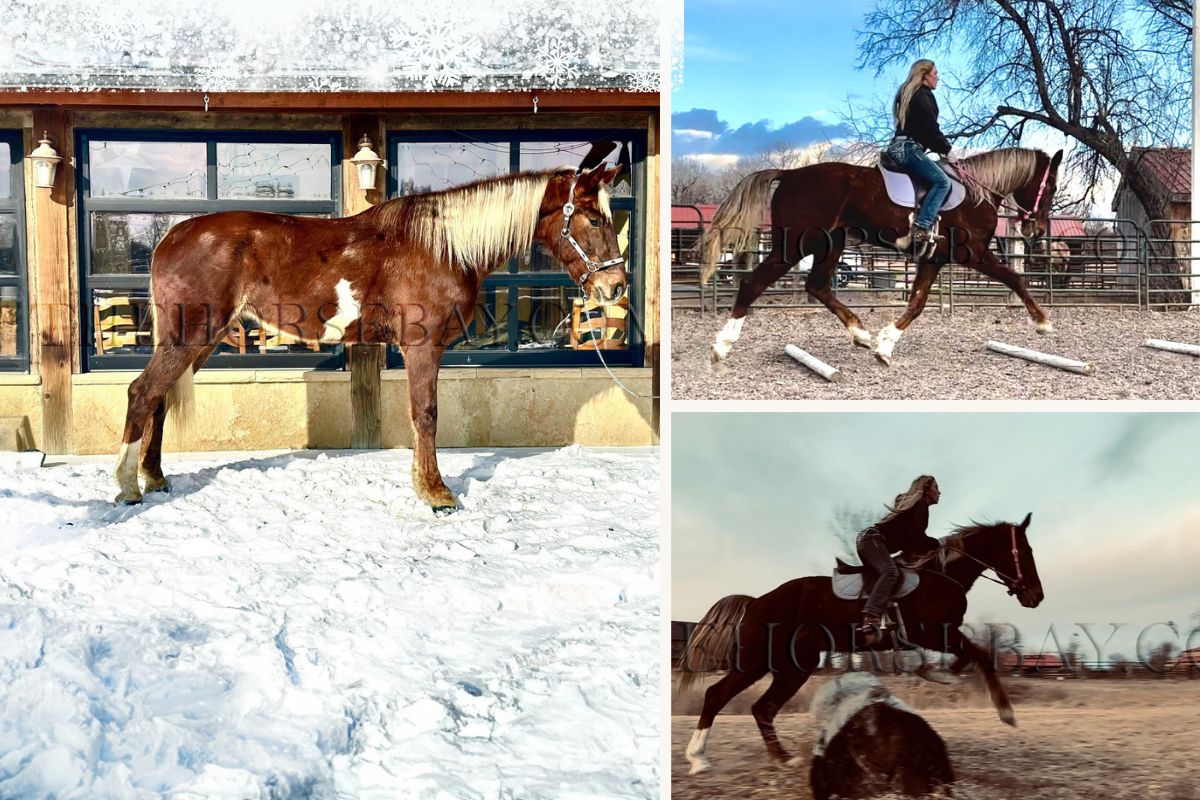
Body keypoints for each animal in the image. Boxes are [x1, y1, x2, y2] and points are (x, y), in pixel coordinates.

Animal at [113, 157, 627, 513]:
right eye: (594, 219)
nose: (616, 286)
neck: (443, 246)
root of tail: (170, 237)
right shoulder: (423, 346)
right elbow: (426, 415)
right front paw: (436, 493)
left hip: (197, 340)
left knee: (159, 398)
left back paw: (154, 478)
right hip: (190, 336)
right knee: (142, 392)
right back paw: (127, 486)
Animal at [677, 515, 1043, 775]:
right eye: (1025, 552)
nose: (1036, 597)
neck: (942, 574)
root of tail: (756, 602)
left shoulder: (938, 635)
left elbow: (968, 655)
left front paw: (939, 674)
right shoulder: (932, 632)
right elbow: (980, 653)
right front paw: (1006, 713)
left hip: (794, 667)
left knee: (762, 708)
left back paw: (783, 758)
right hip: (757, 663)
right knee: (718, 695)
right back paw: (698, 759)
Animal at [699, 147, 1064, 366]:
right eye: (1052, 186)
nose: (1035, 229)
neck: (976, 194)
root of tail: (789, 174)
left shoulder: (933, 259)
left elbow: (917, 303)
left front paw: (885, 345)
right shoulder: (972, 253)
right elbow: (1014, 277)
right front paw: (1042, 322)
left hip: (830, 243)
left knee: (817, 286)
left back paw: (860, 334)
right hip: (795, 246)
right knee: (753, 283)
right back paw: (722, 345)